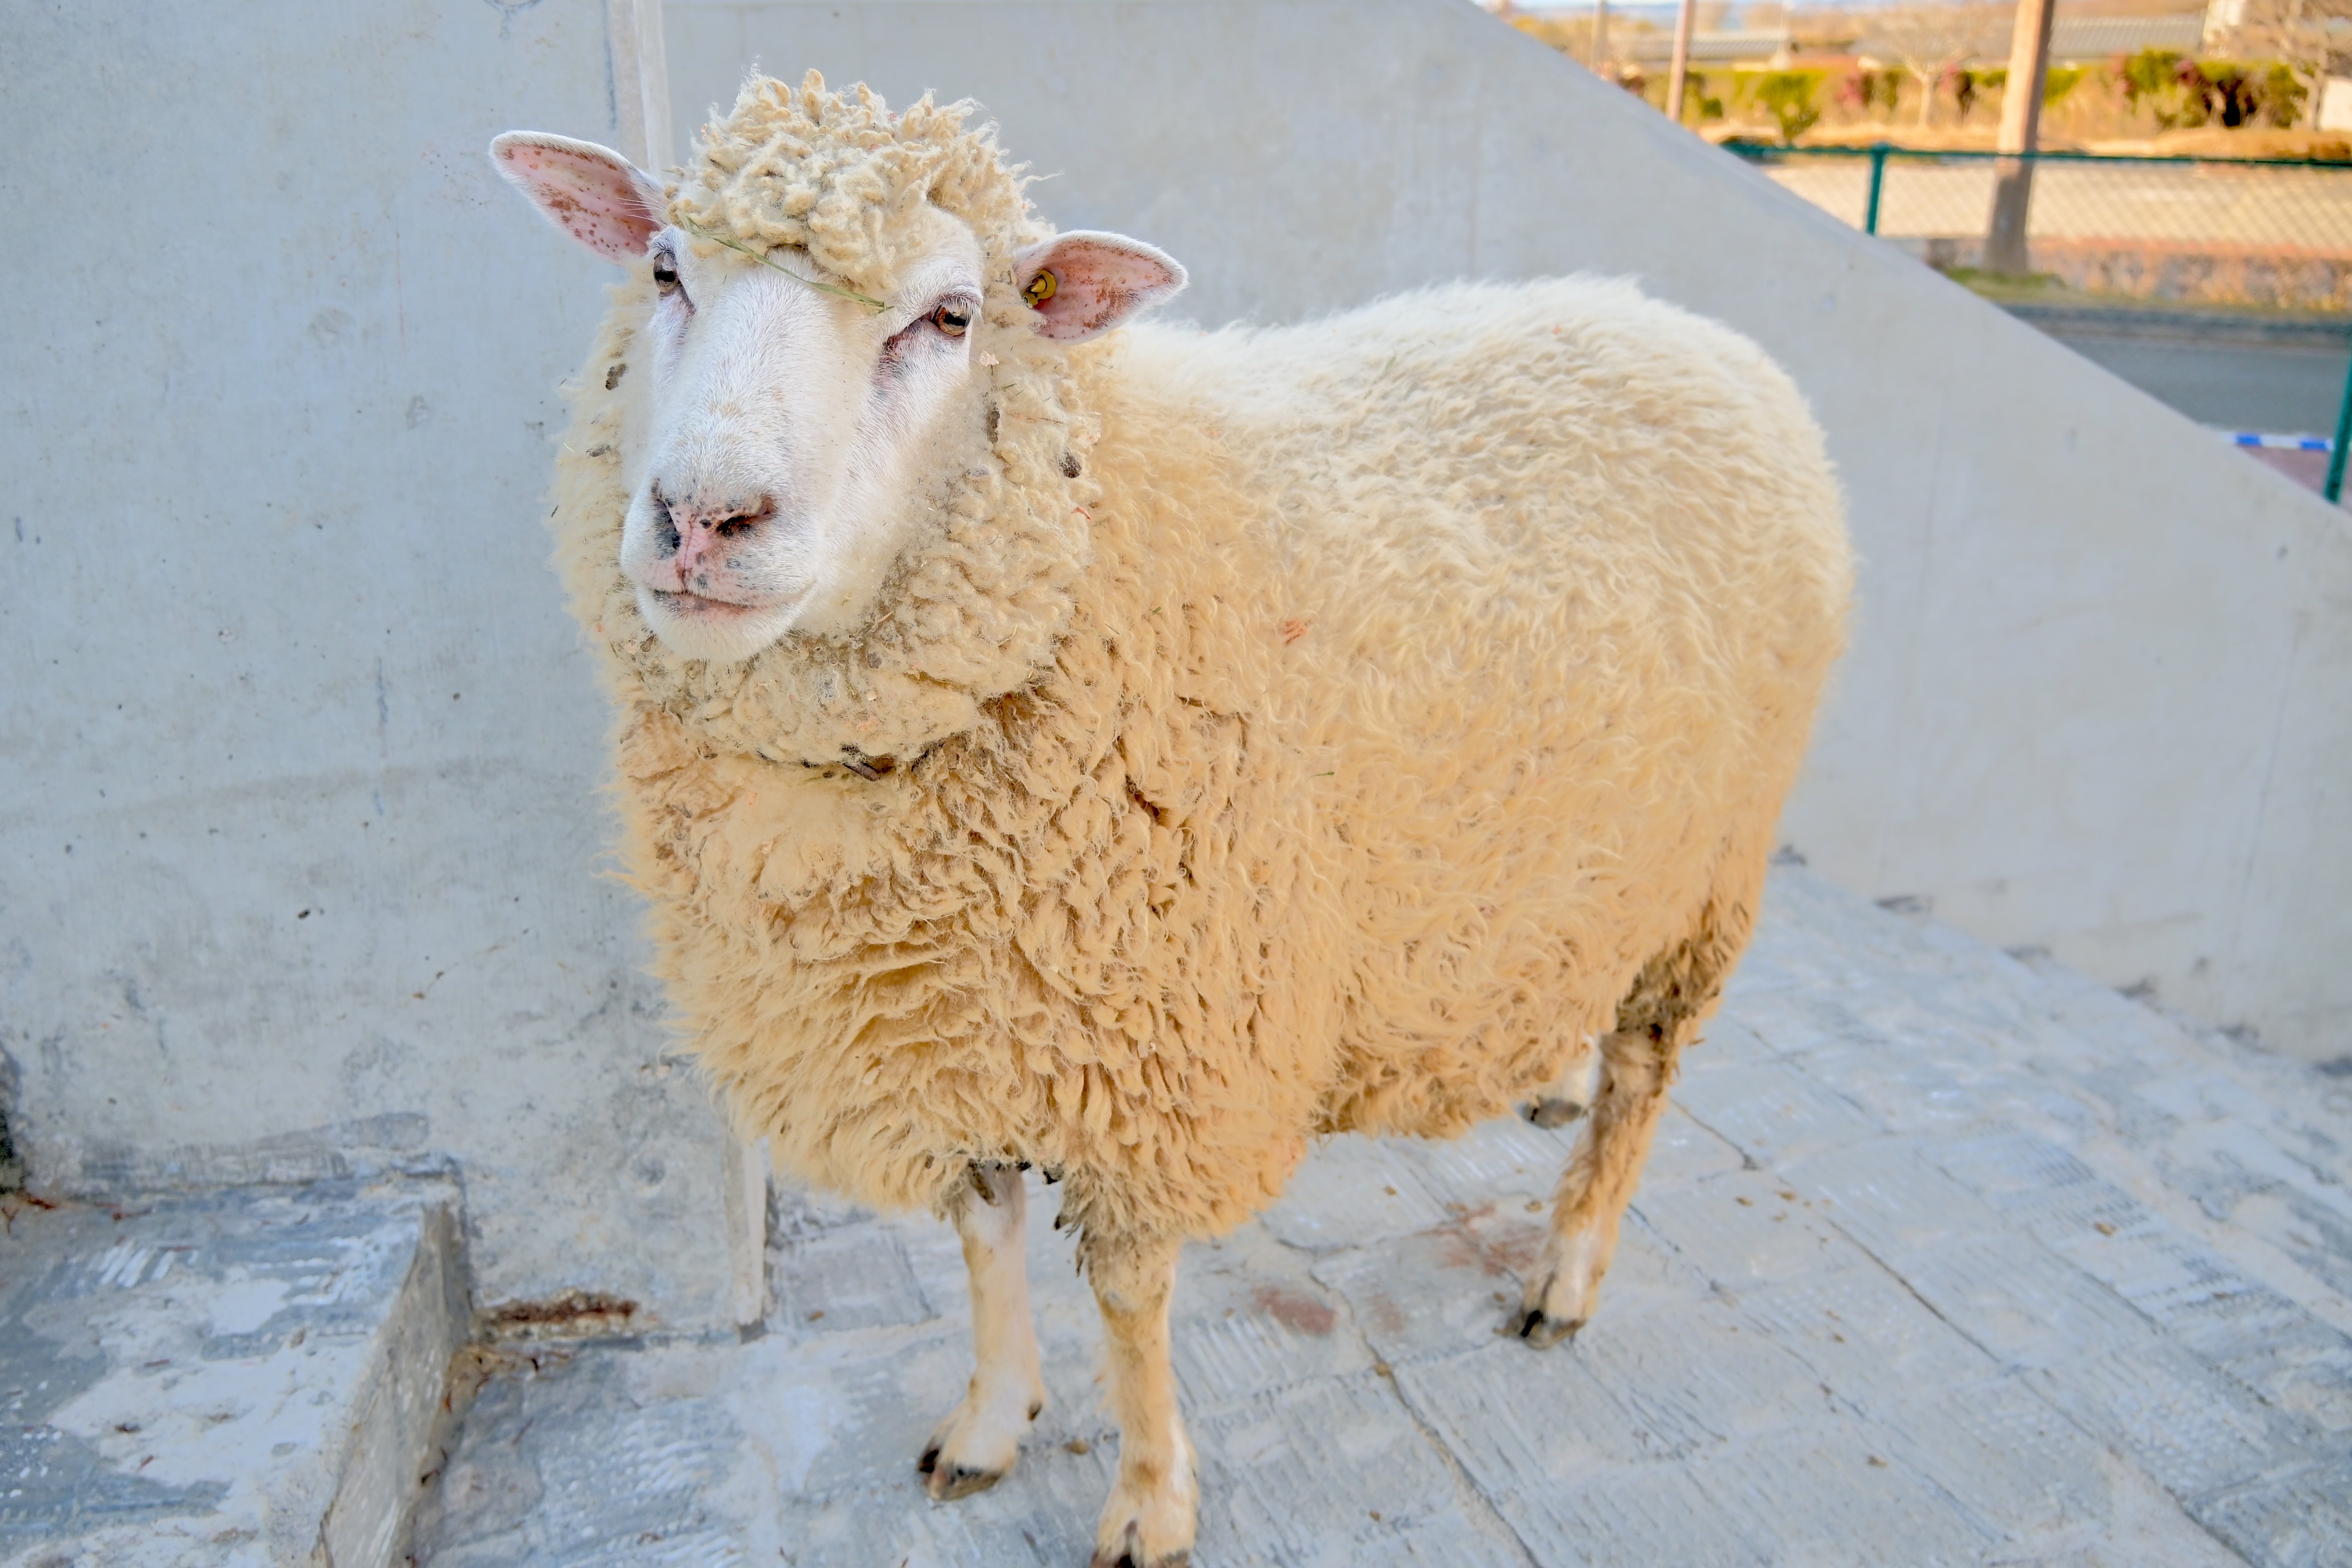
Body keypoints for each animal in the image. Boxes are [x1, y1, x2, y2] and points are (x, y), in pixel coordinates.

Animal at [491, 73, 1853, 1568]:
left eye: (952, 316)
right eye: (664, 270)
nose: (703, 517)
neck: (1091, 554)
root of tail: (1697, 333)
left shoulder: (1153, 1057)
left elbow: (1132, 1304)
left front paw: (1149, 1500)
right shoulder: (949, 1028)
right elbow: (983, 1241)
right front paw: (989, 1421)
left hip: (1712, 868)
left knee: (1645, 1075)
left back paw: (1568, 1268)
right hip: (1582, 852)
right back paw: (1546, 1073)